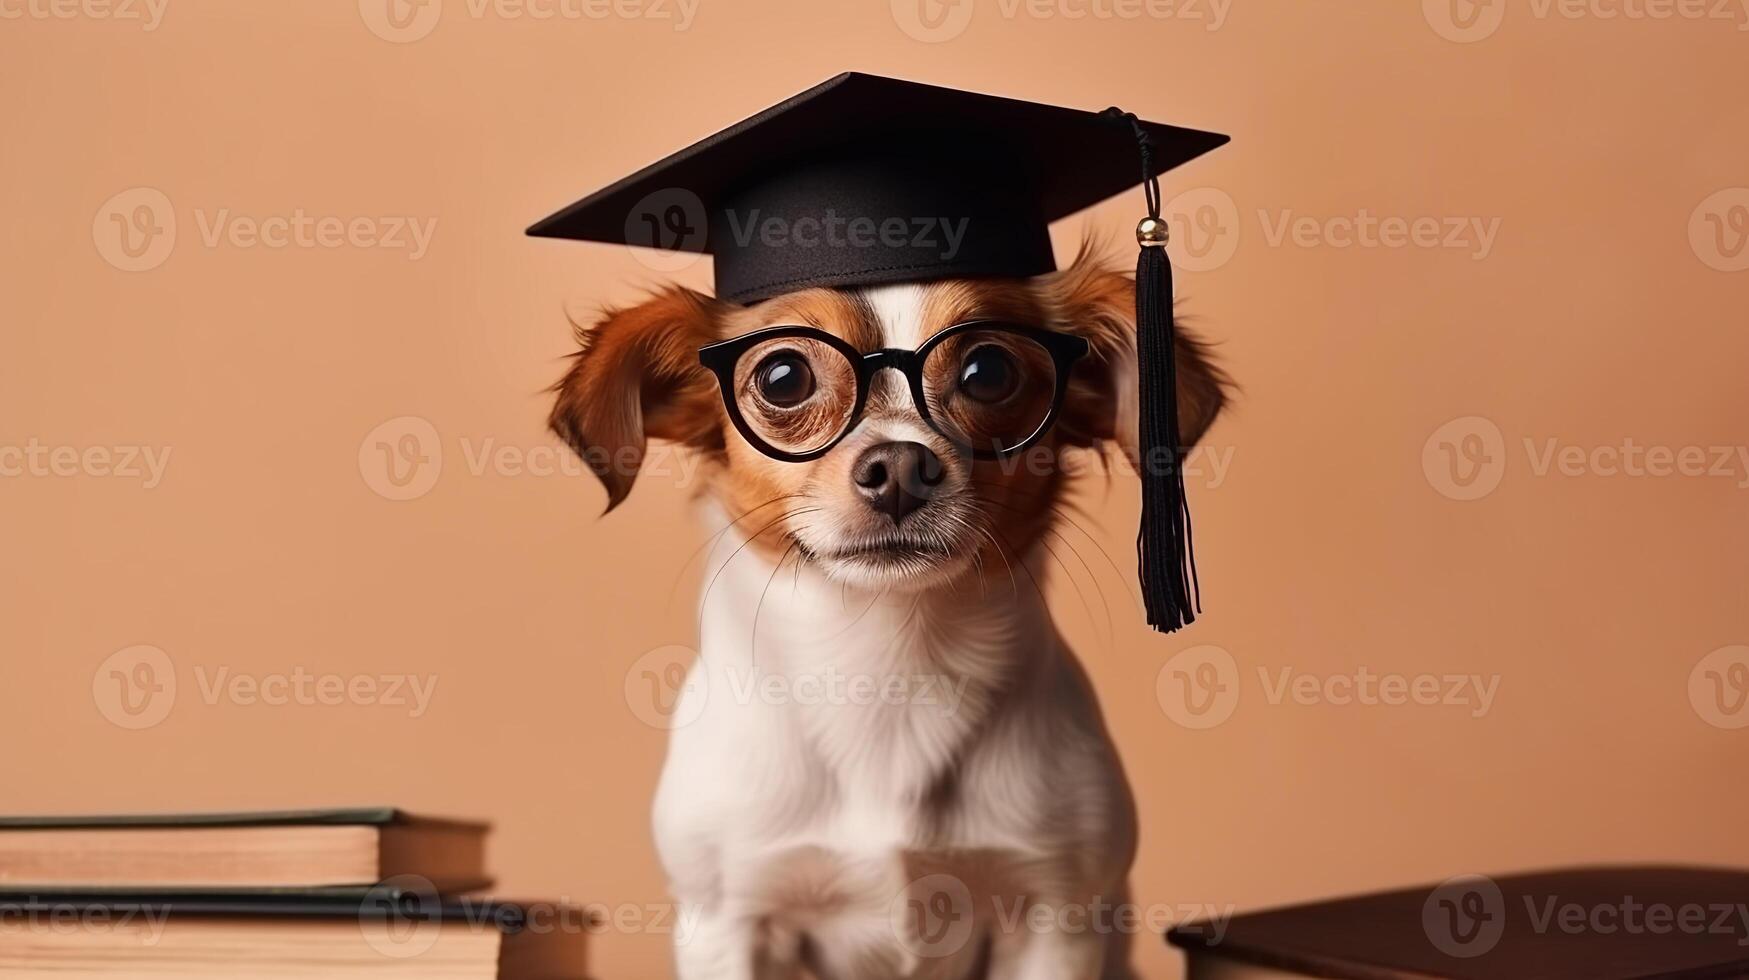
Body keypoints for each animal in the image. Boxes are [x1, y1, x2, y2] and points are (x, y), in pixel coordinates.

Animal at [549, 246, 1231, 980]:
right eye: (782, 378)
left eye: (989, 371)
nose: (900, 465)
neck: (885, 666)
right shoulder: (727, 920)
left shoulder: (1056, 915)